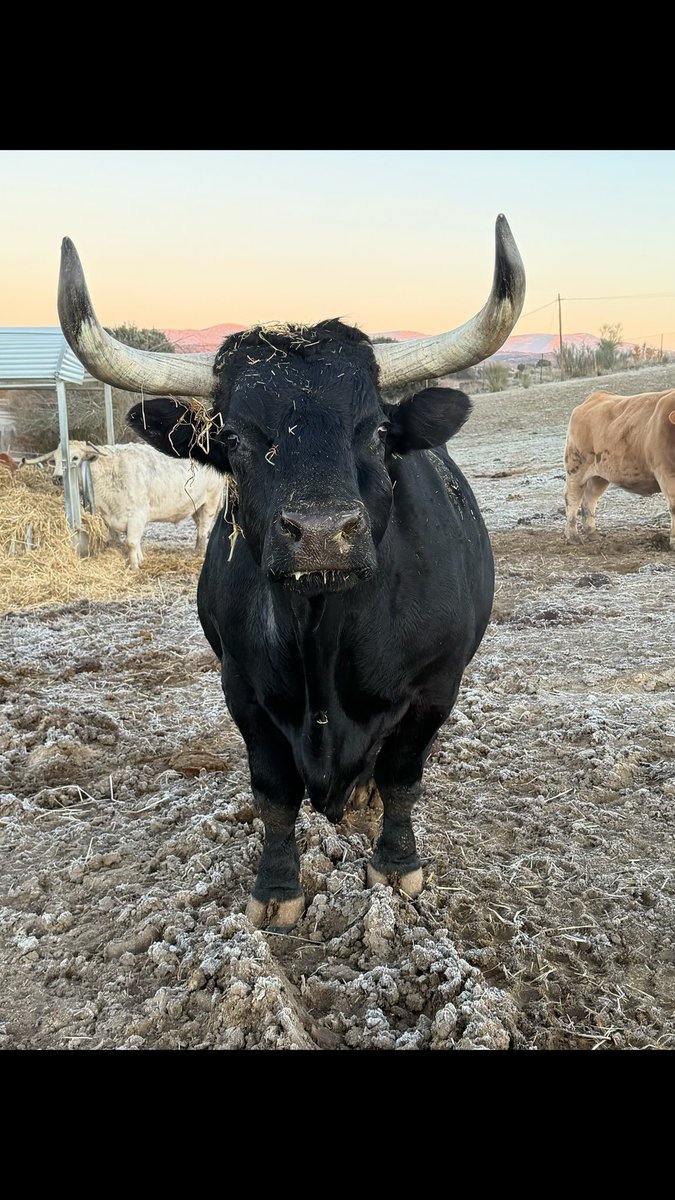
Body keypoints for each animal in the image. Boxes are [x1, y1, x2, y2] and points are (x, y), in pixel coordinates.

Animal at [52, 440, 223, 569]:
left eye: (74, 458)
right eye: (54, 459)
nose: (57, 478)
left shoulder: (137, 515)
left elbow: (131, 542)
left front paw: (134, 566)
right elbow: (135, 541)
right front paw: (140, 559)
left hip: (211, 500)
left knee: (203, 529)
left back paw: (199, 553)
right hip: (196, 506)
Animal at [563, 388, 675, 549]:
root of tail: (595, 396)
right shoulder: (665, 472)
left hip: (600, 475)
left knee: (589, 499)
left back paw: (592, 533)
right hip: (576, 466)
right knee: (572, 498)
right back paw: (572, 536)